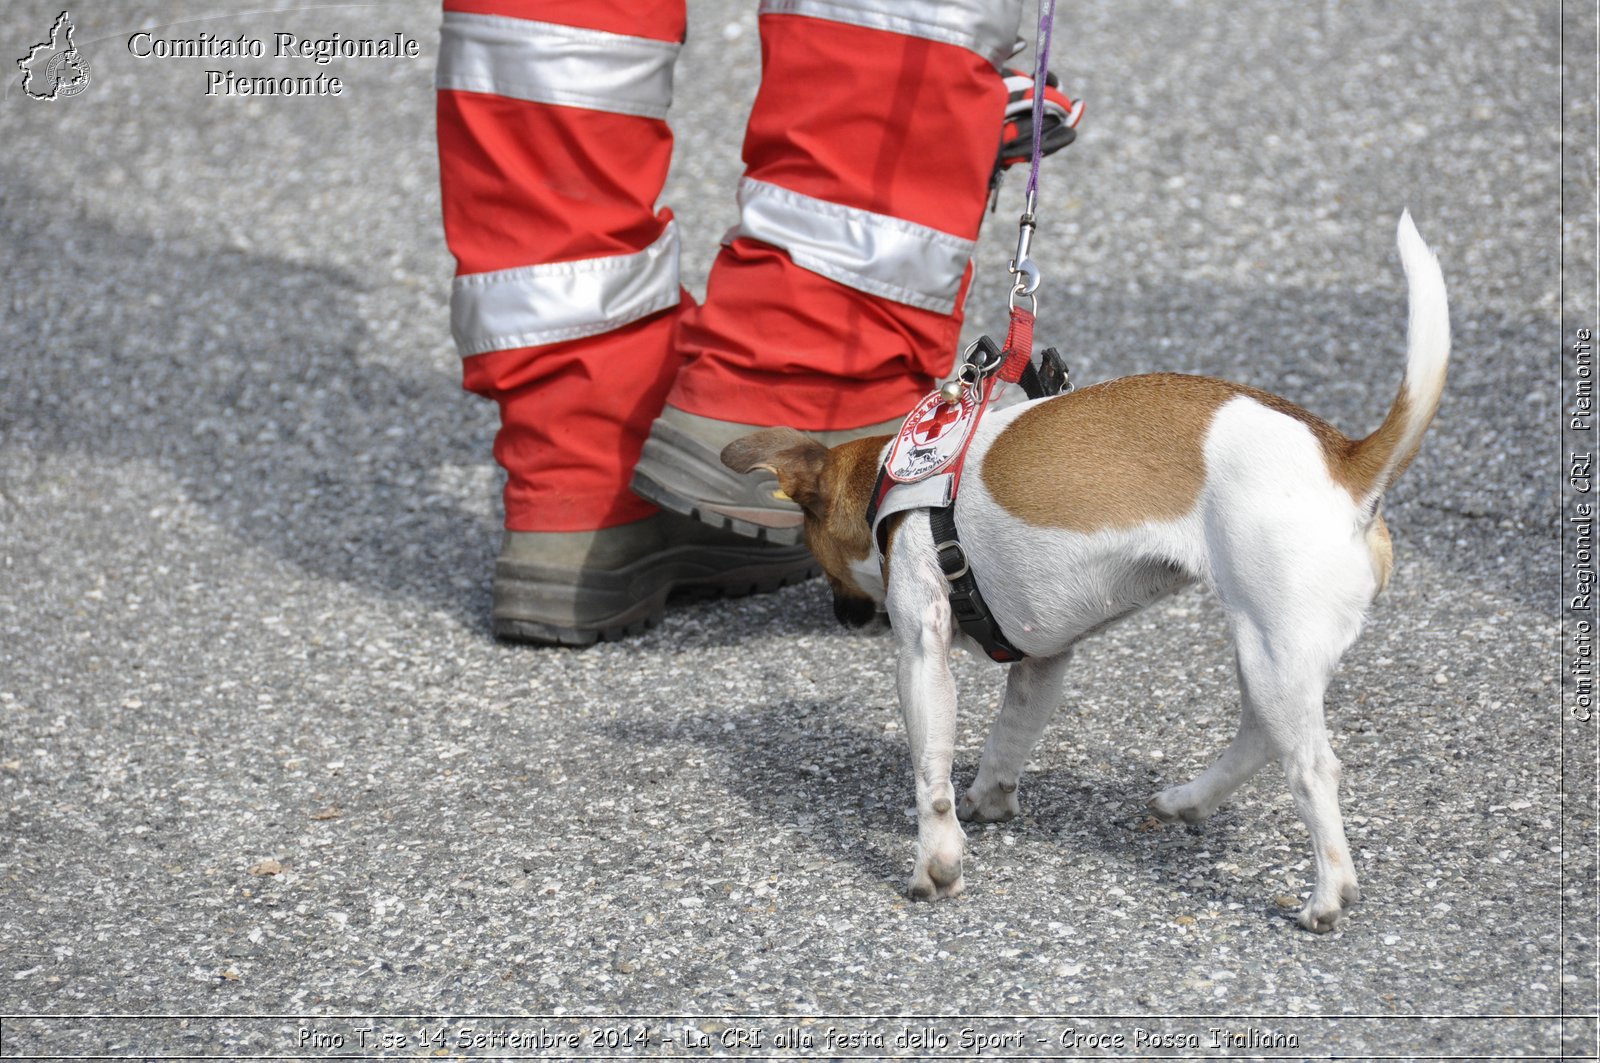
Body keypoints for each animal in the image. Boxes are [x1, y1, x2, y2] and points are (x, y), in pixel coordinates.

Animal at [726, 214, 1452, 928]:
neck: (891, 480)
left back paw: (1327, 892)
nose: (844, 615)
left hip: (1273, 648)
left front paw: (937, 862)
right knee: (1260, 736)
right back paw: (1189, 800)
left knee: (1311, 767)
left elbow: (931, 779)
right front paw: (990, 797)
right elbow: (1009, 735)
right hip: (1271, 653)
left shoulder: (923, 653)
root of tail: (1346, 459)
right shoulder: (1044, 661)